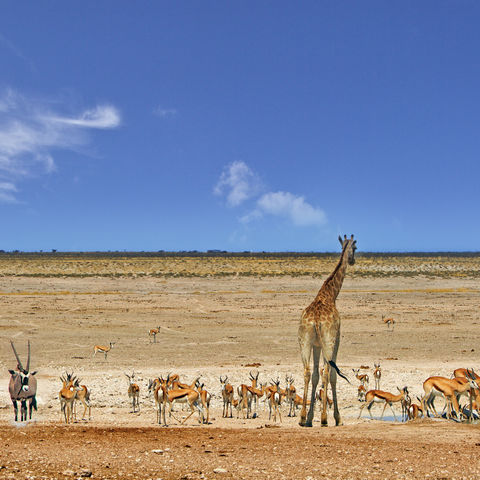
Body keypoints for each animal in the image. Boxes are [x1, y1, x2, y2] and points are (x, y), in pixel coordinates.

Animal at [296, 234, 356, 426]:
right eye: (355, 248)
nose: (352, 260)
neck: (330, 294)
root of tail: (315, 320)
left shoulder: (316, 345)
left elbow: (315, 375)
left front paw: (309, 417)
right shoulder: (336, 341)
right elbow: (332, 376)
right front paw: (336, 418)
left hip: (304, 341)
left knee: (307, 372)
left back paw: (302, 418)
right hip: (329, 342)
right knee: (328, 373)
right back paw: (324, 419)